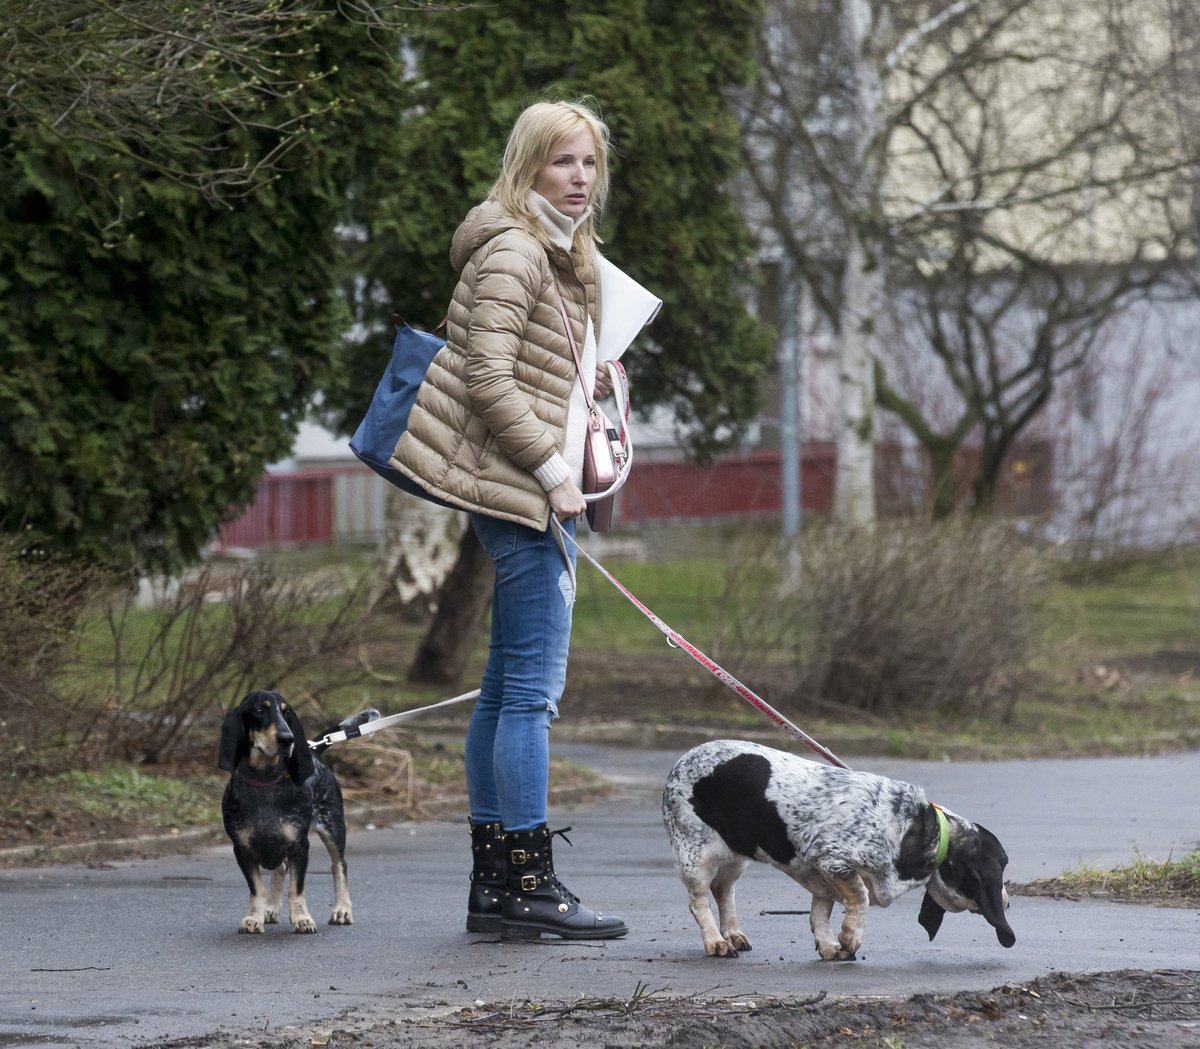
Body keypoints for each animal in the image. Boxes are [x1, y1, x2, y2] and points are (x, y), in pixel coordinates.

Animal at [218, 686, 376, 931]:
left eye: (287, 712)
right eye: (259, 710)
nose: (287, 739)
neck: (265, 781)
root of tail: (314, 752)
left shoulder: (299, 846)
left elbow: (296, 888)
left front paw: (302, 918)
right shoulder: (242, 849)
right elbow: (257, 888)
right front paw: (254, 917)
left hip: (333, 828)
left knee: (339, 865)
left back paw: (342, 910)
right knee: (281, 868)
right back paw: (270, 908)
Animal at [662, 734, 1017, 955]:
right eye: (1000, 868)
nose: (1008, 902)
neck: (925, 833)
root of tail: (682, 761)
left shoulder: (822, 878)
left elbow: (820, 913)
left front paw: (831, 946)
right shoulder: (835, 863)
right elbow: (860, 898)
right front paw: (850, 938)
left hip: (736, 860)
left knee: (725, 892)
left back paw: (733, 935)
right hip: (697, 857)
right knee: (699, 901)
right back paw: (716, 942)